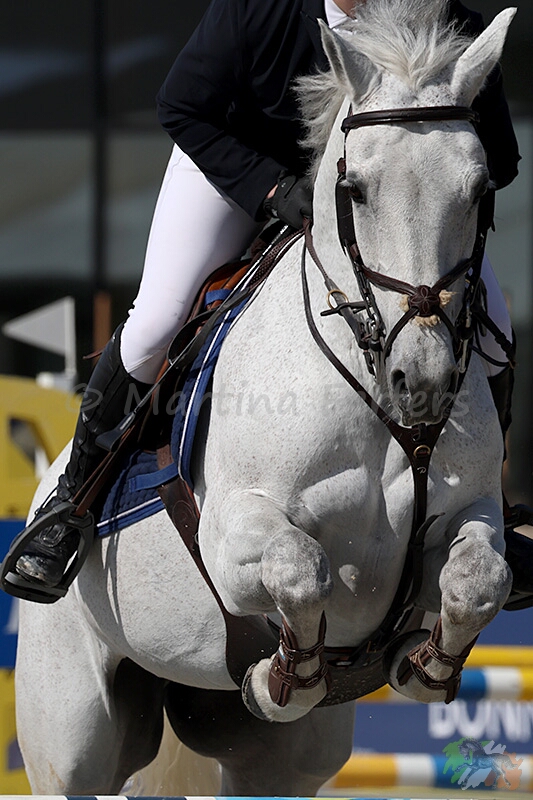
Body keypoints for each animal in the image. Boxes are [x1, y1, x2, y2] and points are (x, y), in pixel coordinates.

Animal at [14, 0, 516, 793]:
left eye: (479, 190)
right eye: (354, 190)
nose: (423, 384)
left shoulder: (472, 513)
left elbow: (478, 578)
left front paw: (424, 667)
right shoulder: (232, 534)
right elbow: (301, 569)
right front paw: (279, 676)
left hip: (277, 765)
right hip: (72, 734)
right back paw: (48, 546)